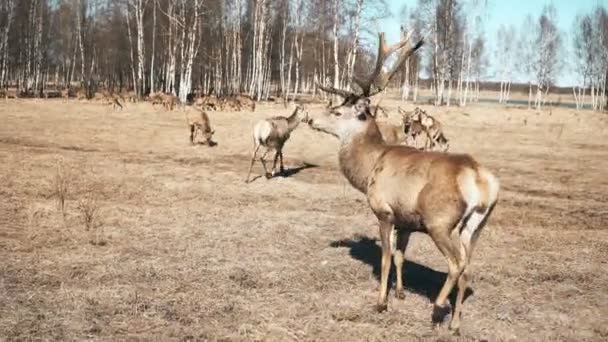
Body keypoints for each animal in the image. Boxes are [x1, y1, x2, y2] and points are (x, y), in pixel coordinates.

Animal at [308, 31, 498, 332]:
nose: (309, 117)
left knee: (456, 264)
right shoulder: (406, 220)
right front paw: (400, 292)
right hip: (477, 226)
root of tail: (481, 182)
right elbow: (400, 256)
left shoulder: (384, 211)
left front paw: (381, 302)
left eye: (337, 111)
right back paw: (455, 324)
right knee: (468, 267)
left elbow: (385, 258)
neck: (369, 167)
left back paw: (438, 309)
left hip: (439, 221)